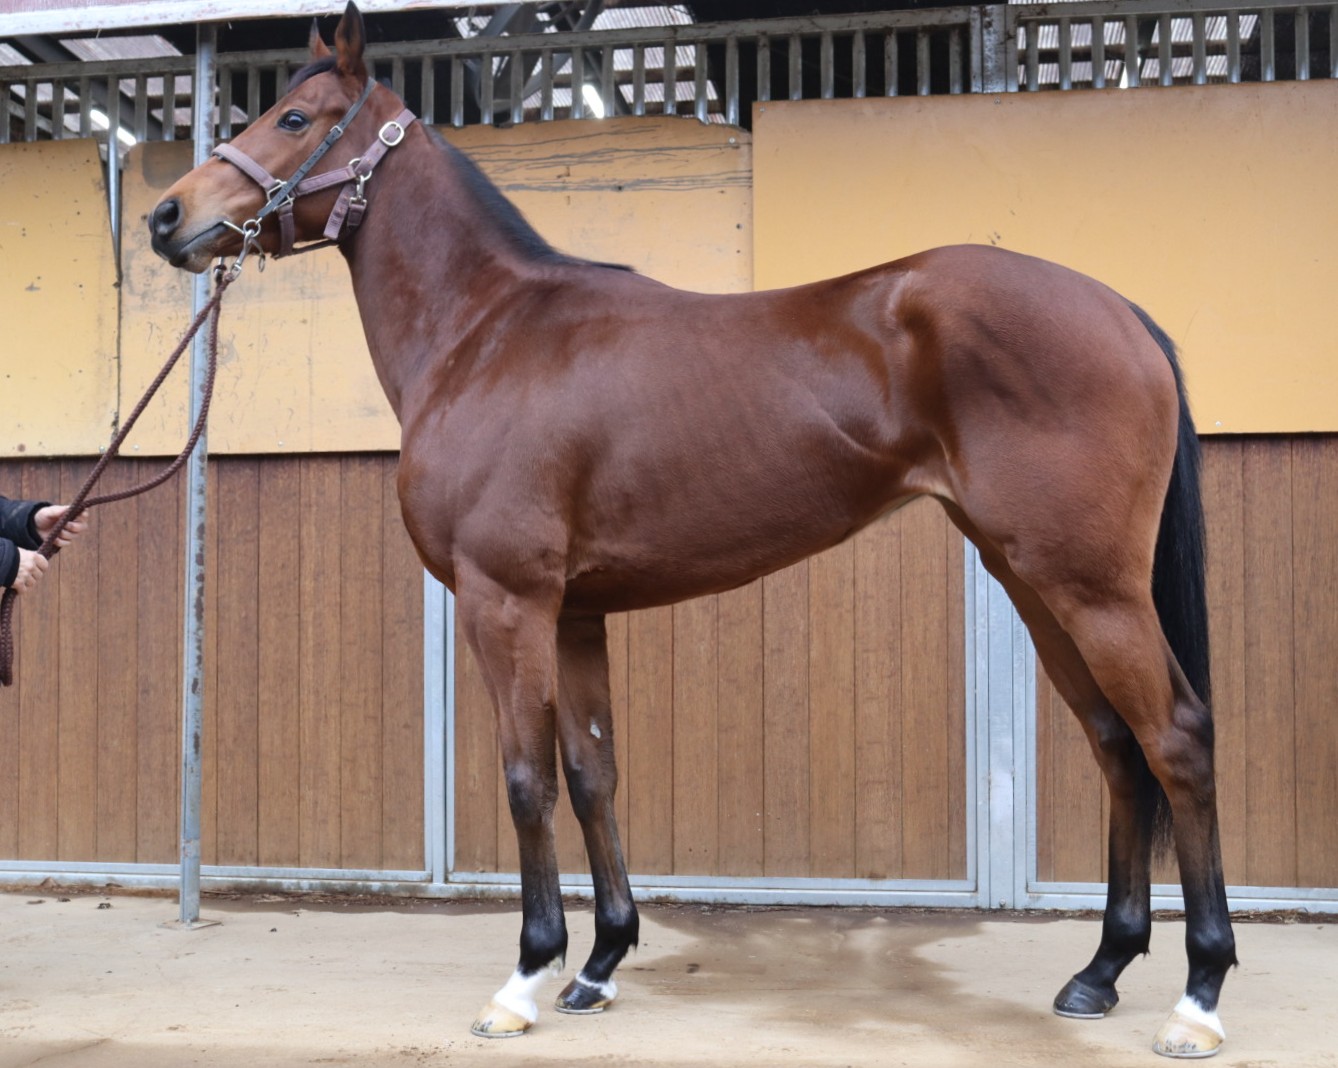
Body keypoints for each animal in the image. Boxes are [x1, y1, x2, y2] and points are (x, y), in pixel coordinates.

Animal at [148, 2, 1236, 1056]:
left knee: (1175, 739)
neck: (487, 335)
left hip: (1090, 587)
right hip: (1034, 581)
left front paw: (525, 978)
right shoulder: (575, 613)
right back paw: (1101, 972)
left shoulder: (508, 602)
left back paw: (1198, 998)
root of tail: (1122, 312)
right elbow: (592, 774)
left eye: (292, 117)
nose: (169, 216)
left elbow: (526, 780)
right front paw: (598, 965)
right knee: (1115, 744)